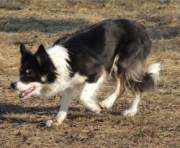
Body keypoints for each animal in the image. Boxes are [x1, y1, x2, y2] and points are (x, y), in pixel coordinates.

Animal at [10, 17, 160, 125]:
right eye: (20, 71)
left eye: (29, 73)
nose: (12, 85)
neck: (56, 63)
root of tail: (141, 27)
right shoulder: (69, 82)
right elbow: (64, 102)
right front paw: (58, 119)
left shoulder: (97, 72)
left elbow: (82, 97)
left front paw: (95, 108)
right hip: (114, 65)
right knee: (122, 86)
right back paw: (107, 103)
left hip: (122, 64)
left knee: (136, 87)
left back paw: (131, 111)